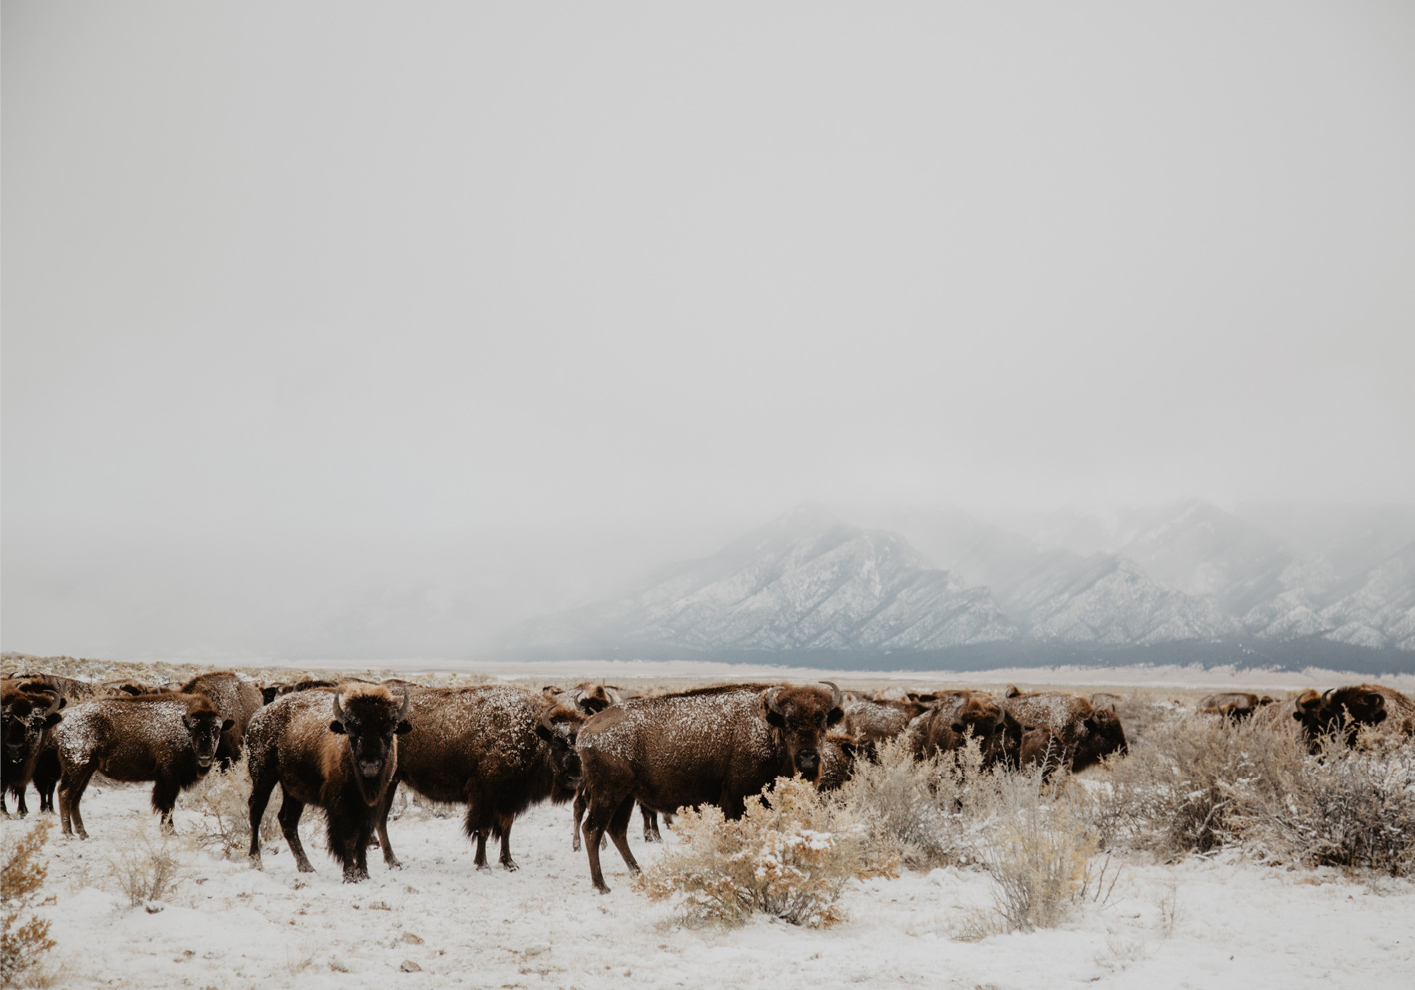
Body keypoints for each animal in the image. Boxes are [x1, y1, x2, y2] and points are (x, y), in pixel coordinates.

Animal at [55, 693, 230, 837]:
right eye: (193, 730)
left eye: (216, 729)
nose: (204, 757)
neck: (183, 725)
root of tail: (64, 717)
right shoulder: (170, 777)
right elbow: (167, 804)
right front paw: (171, 831)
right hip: (76, 767)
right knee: (65, 792)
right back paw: (68, 833)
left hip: (87, 769)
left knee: (75, 797)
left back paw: (83, 833)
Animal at [247, 684, 413, 888]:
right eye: (352, 731)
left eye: (389, 730)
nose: (370, 765)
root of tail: (258, 716)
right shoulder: (341, 805)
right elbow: (348, 838)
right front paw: (350, 875)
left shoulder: (371, 805)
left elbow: (363, 837)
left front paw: (364, 873)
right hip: (263, 776)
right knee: (256, 811)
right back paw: (256, 862)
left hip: (293, 791)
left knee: (287, 820)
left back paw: (306, 867)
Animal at [370, 684, 585, 871]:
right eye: (557, 743)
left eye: (580, 745)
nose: (575, 778)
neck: (530, 731)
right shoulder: (486, 797)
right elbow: (483, 830)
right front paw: (483, 865)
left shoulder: (509, 799)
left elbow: (506, 830)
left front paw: (509, 863)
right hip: (389, 782)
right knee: (380, 820)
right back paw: (393, 862)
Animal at [571, 684, 837, 893]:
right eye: (790, 722)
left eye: (823, 721)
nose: (808, 758)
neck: (768, 727)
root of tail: (586, 728)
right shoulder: (736, 801)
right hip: (608, 793)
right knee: (592, 829)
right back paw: (601, 885)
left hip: (625, 796)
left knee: (616, 830)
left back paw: (638, 873)